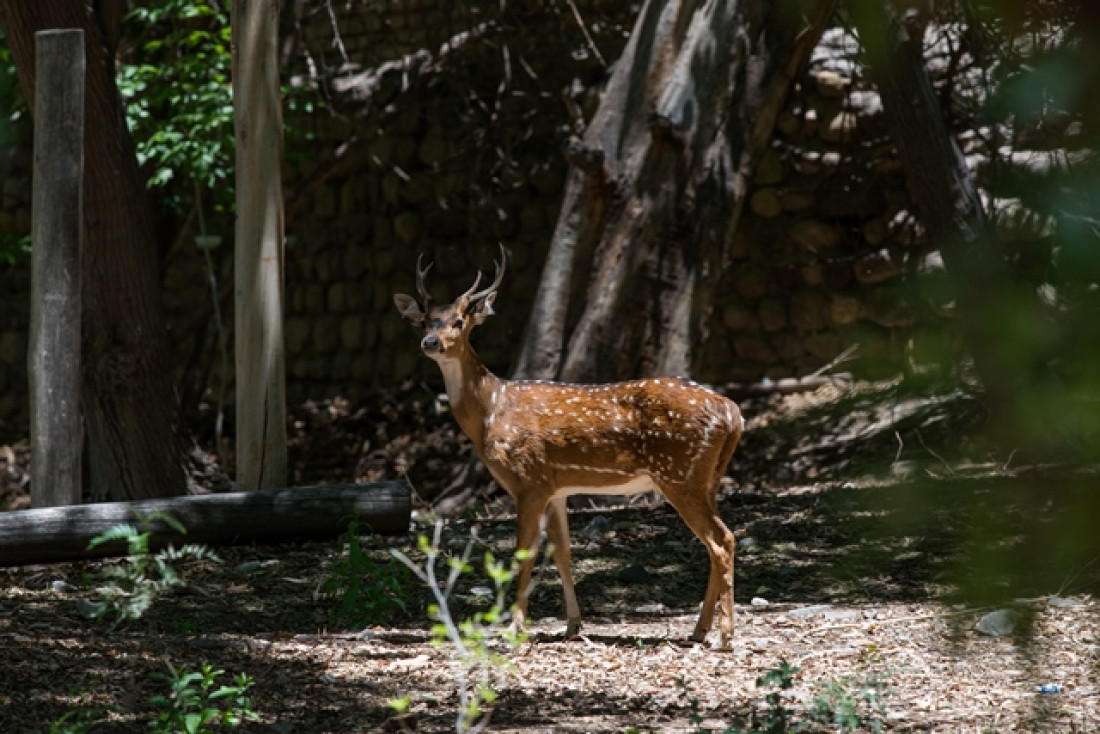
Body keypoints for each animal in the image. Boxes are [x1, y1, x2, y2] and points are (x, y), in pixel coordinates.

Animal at [391, 249, 743, 647]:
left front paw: (515, 628)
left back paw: (724, 635)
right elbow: (562, 553)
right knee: (716, 542)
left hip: (679, 473)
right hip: (706, 477)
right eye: (425, 322)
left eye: (458, 320)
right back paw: (700, 630)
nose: (431, 342)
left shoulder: (528, 480)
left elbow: (524, 554)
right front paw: (573, 624)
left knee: (722, 540)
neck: (492, 410)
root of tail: (733, 412)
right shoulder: (556, 487)